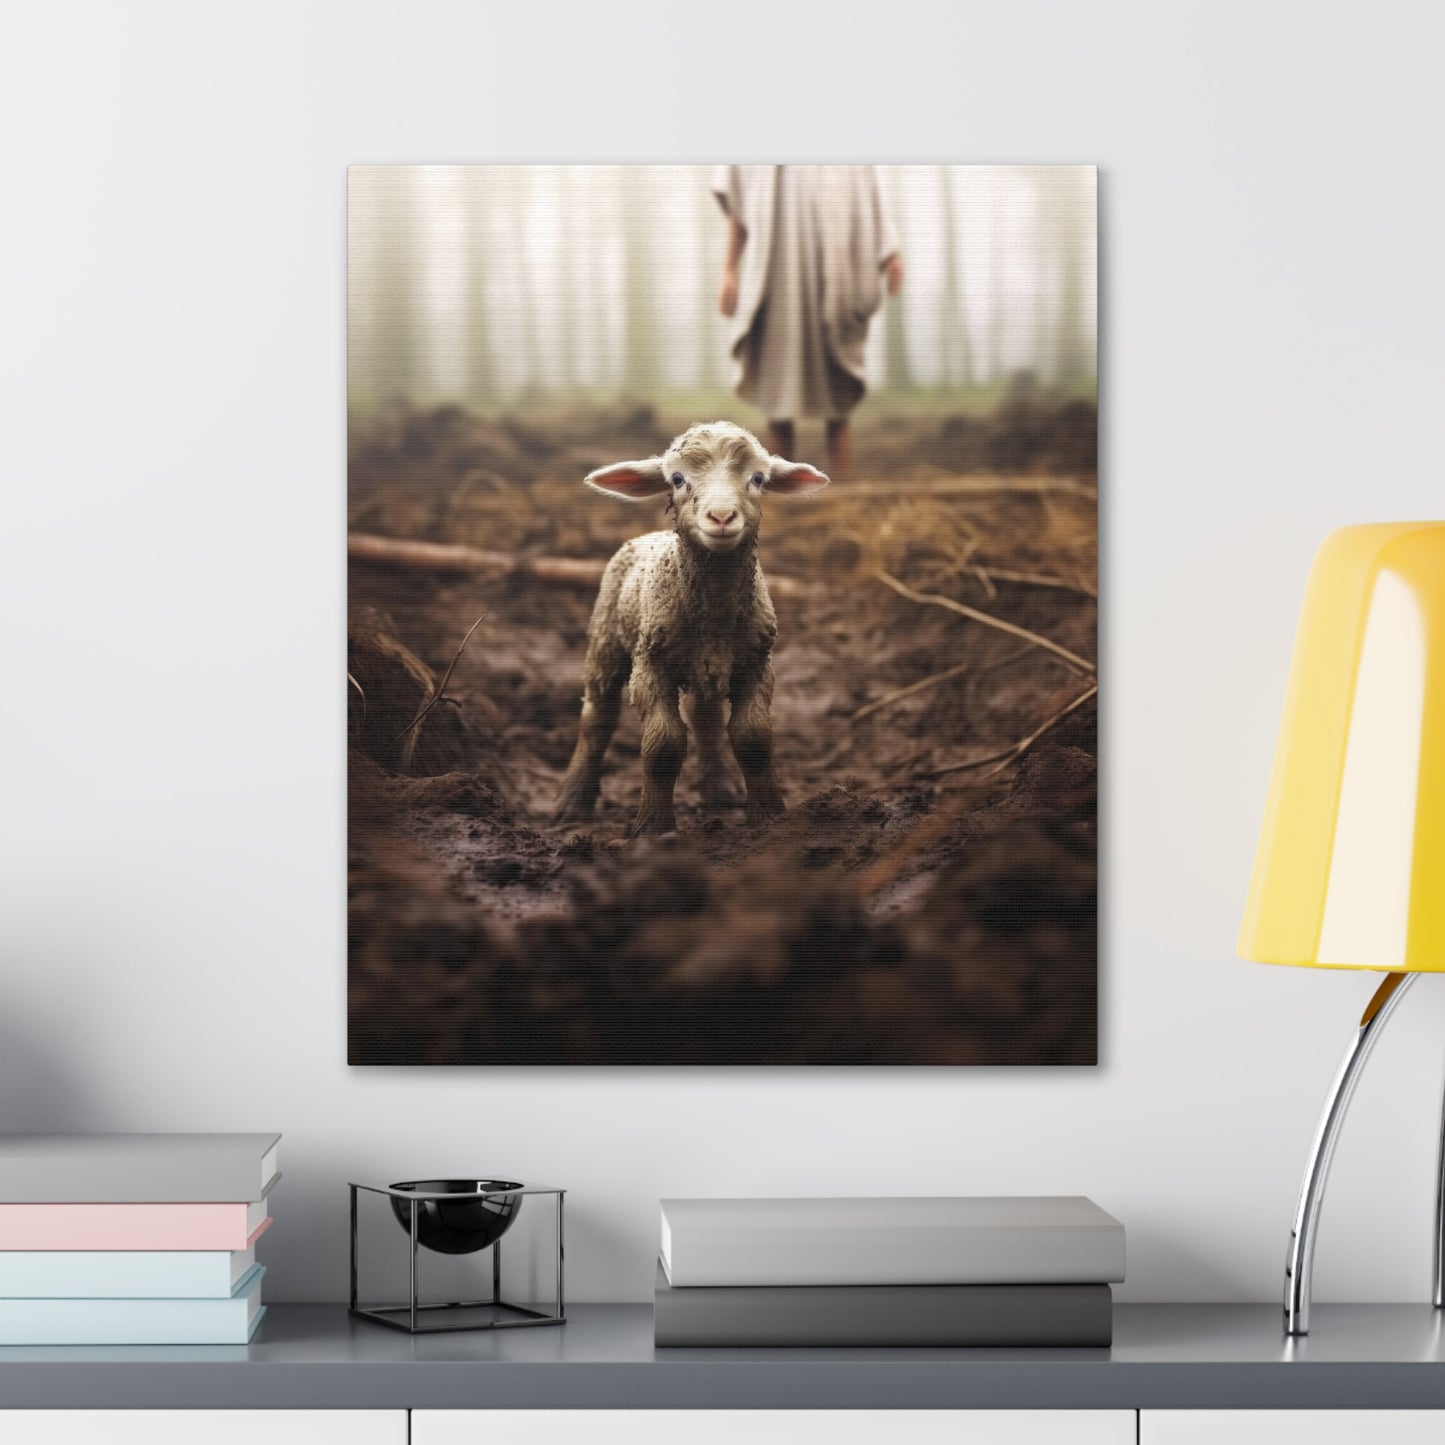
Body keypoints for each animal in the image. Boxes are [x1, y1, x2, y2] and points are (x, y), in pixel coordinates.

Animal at [553, 421, 829, 836]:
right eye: (678, 479)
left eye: (758, 478)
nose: (721, 517)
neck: (713, 614)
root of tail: (649, 535)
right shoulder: (650, 665)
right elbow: (663, 745)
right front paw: (654, 828)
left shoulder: (756, 662)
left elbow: (754, 740)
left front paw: (768, 817)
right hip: (606, 639)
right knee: (597, 718)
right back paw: (571, 801)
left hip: (706, 668)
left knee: (705, 719)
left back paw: (721, 789)